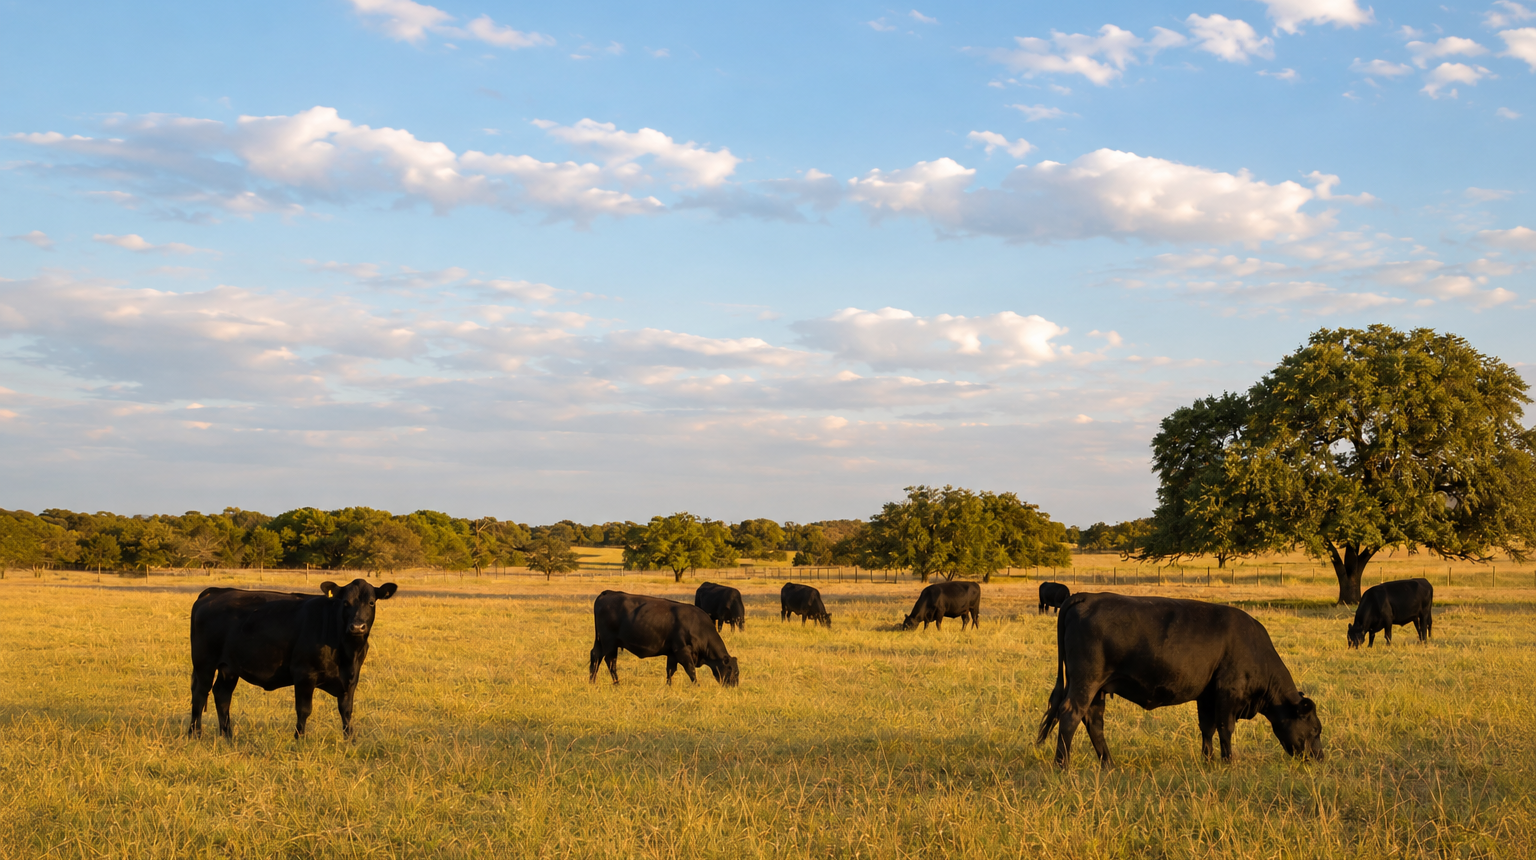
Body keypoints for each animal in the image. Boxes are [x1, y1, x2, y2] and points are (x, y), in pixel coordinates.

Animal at [188, 579, 398, 740]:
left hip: (229, 668)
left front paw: (350, 741)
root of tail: (215, 592)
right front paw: (299, 739)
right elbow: (304, 709)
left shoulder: (351, 679)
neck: (348, 652)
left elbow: (346, 711)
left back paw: (227, 736)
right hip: (204, 664)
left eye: (371, 603)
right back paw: (195, 734)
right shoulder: (304, 674)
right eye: (345, 603)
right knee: (200, 694)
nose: (357, 627)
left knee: (222, 695)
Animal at [590, 591, 740, 686]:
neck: (699, 626)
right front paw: (697, 686)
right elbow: (691, 670)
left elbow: (670, 671)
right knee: (610, 661)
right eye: (734, 672)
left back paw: (592, 681)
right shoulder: (682, 651)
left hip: (600, 641)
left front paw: (668, 686)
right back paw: (616, 683)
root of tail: (608, 593)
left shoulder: (672, 654)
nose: (734, 686)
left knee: (595, 656)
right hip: (610, 643)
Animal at [1036, 593, 1323, 767]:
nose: (1320, 758)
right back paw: (1062, 765)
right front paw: (1228, 762)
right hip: (1086, 681)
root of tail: (1087, 596)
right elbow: (1225, 729)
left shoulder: (1207, 695)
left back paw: (1108, 764)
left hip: (1098, 688)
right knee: (1070, 715)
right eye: (1316, 730)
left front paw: (1208, 761)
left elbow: (1207, 727)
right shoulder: (1228, 692)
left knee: (1094, 721)